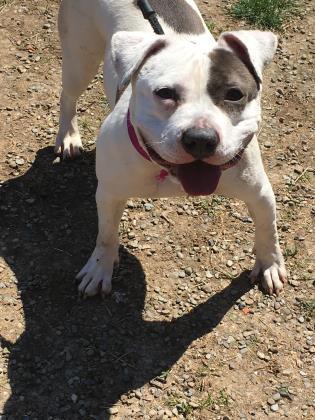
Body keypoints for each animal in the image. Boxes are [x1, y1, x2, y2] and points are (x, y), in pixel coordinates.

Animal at [55, 0, 288, 296]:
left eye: (234, 94)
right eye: (164, 93)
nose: (201, 138)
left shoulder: (259, 192)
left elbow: (268, 229)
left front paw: (270, 264)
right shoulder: (109, 193)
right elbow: (106, 235)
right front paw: (99, 269)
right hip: (80, 58)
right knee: (68, 95)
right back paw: (68, 136)